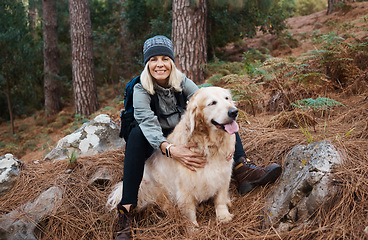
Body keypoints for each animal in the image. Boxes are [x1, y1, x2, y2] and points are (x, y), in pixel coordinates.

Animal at [107, 87, 239, 226]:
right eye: (212, 103)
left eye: (227, 98)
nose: (234, 112)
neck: (208, 145)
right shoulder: (185, 186)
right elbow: (189, 210)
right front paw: (193, 227)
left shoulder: (223, 175)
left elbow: (220, 198)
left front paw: (223, 216)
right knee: (164, 204)